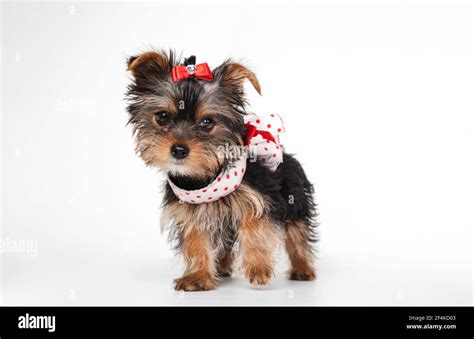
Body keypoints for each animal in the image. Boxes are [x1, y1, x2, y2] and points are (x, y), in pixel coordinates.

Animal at [127, 50, 318, 292]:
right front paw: (198, 277)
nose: (179, 150)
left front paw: (258, 269)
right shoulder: (189, 213)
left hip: (296, 199)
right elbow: (195, 241)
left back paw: (302, 268)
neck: (204, 178)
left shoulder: (260, 197)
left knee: (297, 234)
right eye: (161, 116)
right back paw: (223, 267)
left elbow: (254, 225)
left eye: (208, 122)